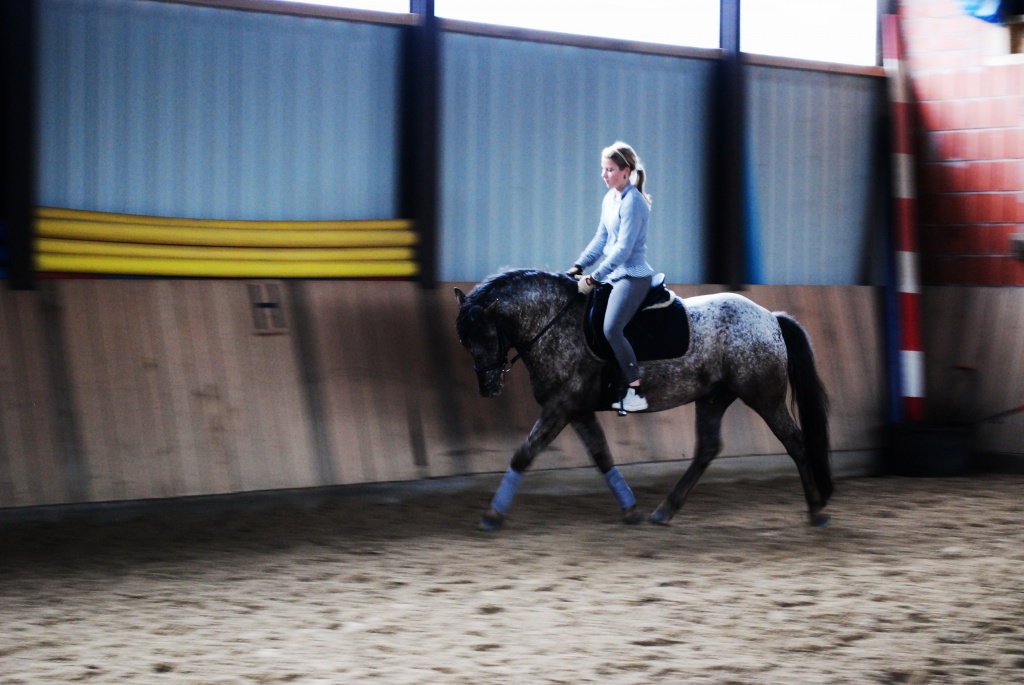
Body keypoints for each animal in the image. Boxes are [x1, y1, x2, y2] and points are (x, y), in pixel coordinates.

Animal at [454, 268, 832, 531]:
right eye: (464, 340)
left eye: (487, 335)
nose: (488, 386)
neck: (555, 322)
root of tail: (770, 318)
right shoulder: (576, 410)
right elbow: (602, 456)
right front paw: (630, 510)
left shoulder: (560, 406)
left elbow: (524, 454)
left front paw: (492, 515)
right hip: (713, 398)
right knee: (707, 449)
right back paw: (664, 510)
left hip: (764, 396)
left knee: (795, 442)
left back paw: (816, 510)